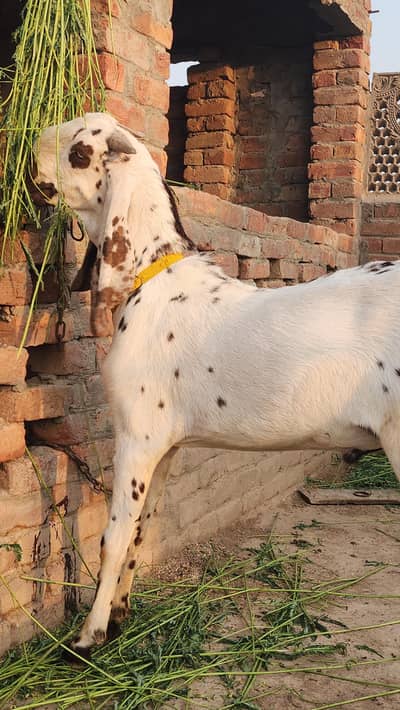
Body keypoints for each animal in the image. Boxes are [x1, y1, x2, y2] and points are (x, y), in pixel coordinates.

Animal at [32, 112, 400, 656]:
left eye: (79, 153)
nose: (26, 146)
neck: (153, 282)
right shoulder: (165, 447)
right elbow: (142, 529)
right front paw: (120, 615)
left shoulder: (136, 438)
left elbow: (113, 537)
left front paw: (89, 637)